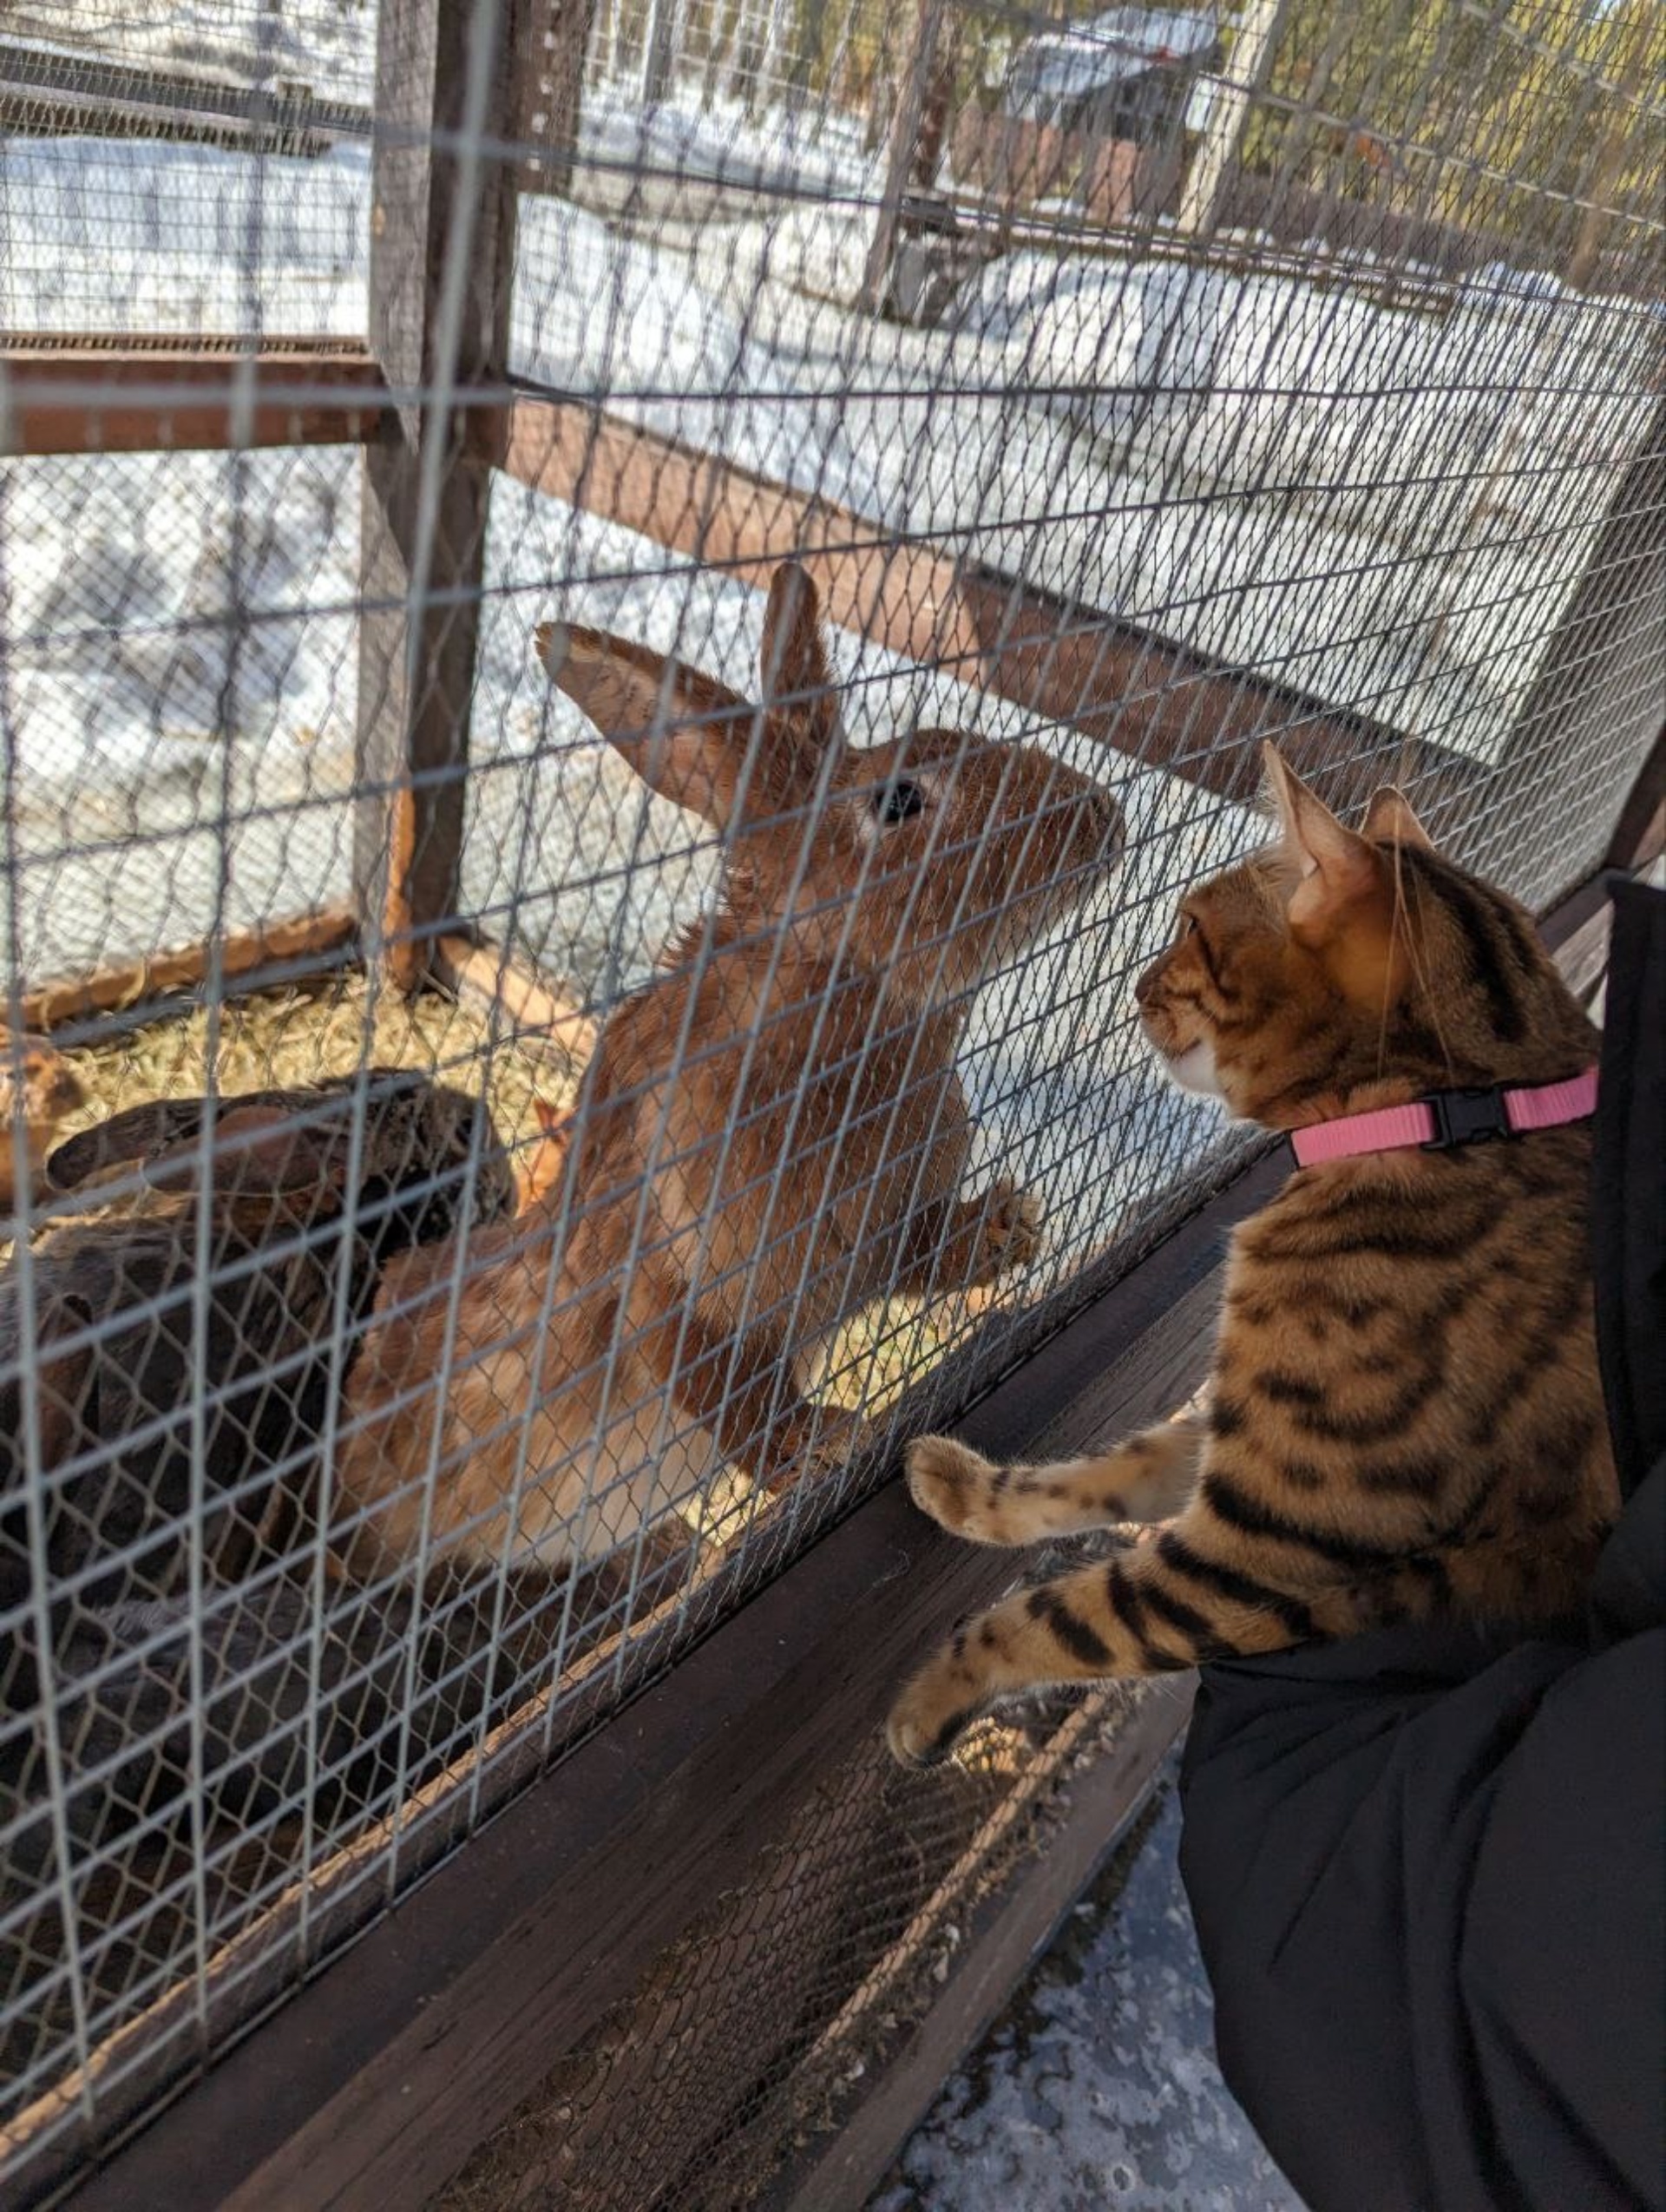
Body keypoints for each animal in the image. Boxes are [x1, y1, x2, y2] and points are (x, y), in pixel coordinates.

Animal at [331, 561, 1124, 1584]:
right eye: (901, 800)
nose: (1101, 815)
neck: (838, 989)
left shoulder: (886, 1230)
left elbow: (923, 1255)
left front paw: (1009, 1230)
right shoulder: (676, 1275)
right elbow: (726, 1388)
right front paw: (825, 1441)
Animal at [889, 743, 1619, 1761]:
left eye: (1192, 930)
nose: (1134, 988)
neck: (1455, 1112)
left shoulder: (1270, 1542)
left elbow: (1061, 1615)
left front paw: (932, 1696)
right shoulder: (1248, 1436)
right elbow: (1096, 1477)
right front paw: (965, 1487)